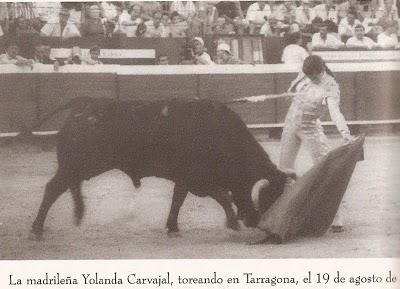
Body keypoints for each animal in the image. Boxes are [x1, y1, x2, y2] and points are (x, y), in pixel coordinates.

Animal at [30, 98, 294, 237]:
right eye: (267, 195)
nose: (255, 221)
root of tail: (82, 105)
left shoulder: (185, 179)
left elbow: (178, 200)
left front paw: (172, 227)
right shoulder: (200, 180)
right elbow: (223, 197)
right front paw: (232, 223)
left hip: (79, 165)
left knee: (69, 185)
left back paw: (77, 214)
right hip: (80, 164)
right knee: (54, 188)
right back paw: (38, 228)